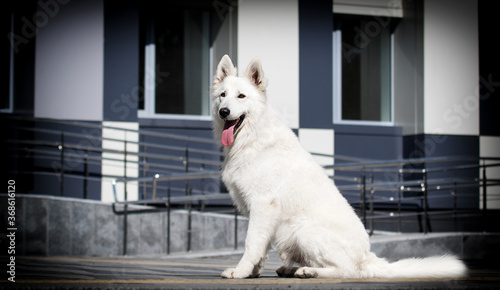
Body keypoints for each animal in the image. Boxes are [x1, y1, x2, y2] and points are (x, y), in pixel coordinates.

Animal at [209, 53, 466, 278]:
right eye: (223, 95)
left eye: (241, 96)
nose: (224, 111)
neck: (251, 139)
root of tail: (367, 257)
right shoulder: (257, 212)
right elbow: (260, 248)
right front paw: (252, 272)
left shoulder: (263, 206)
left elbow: (251, 244)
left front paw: (240, 272)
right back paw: (292, 268)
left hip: (304, 231)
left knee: (347, 271)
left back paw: (309, 272)